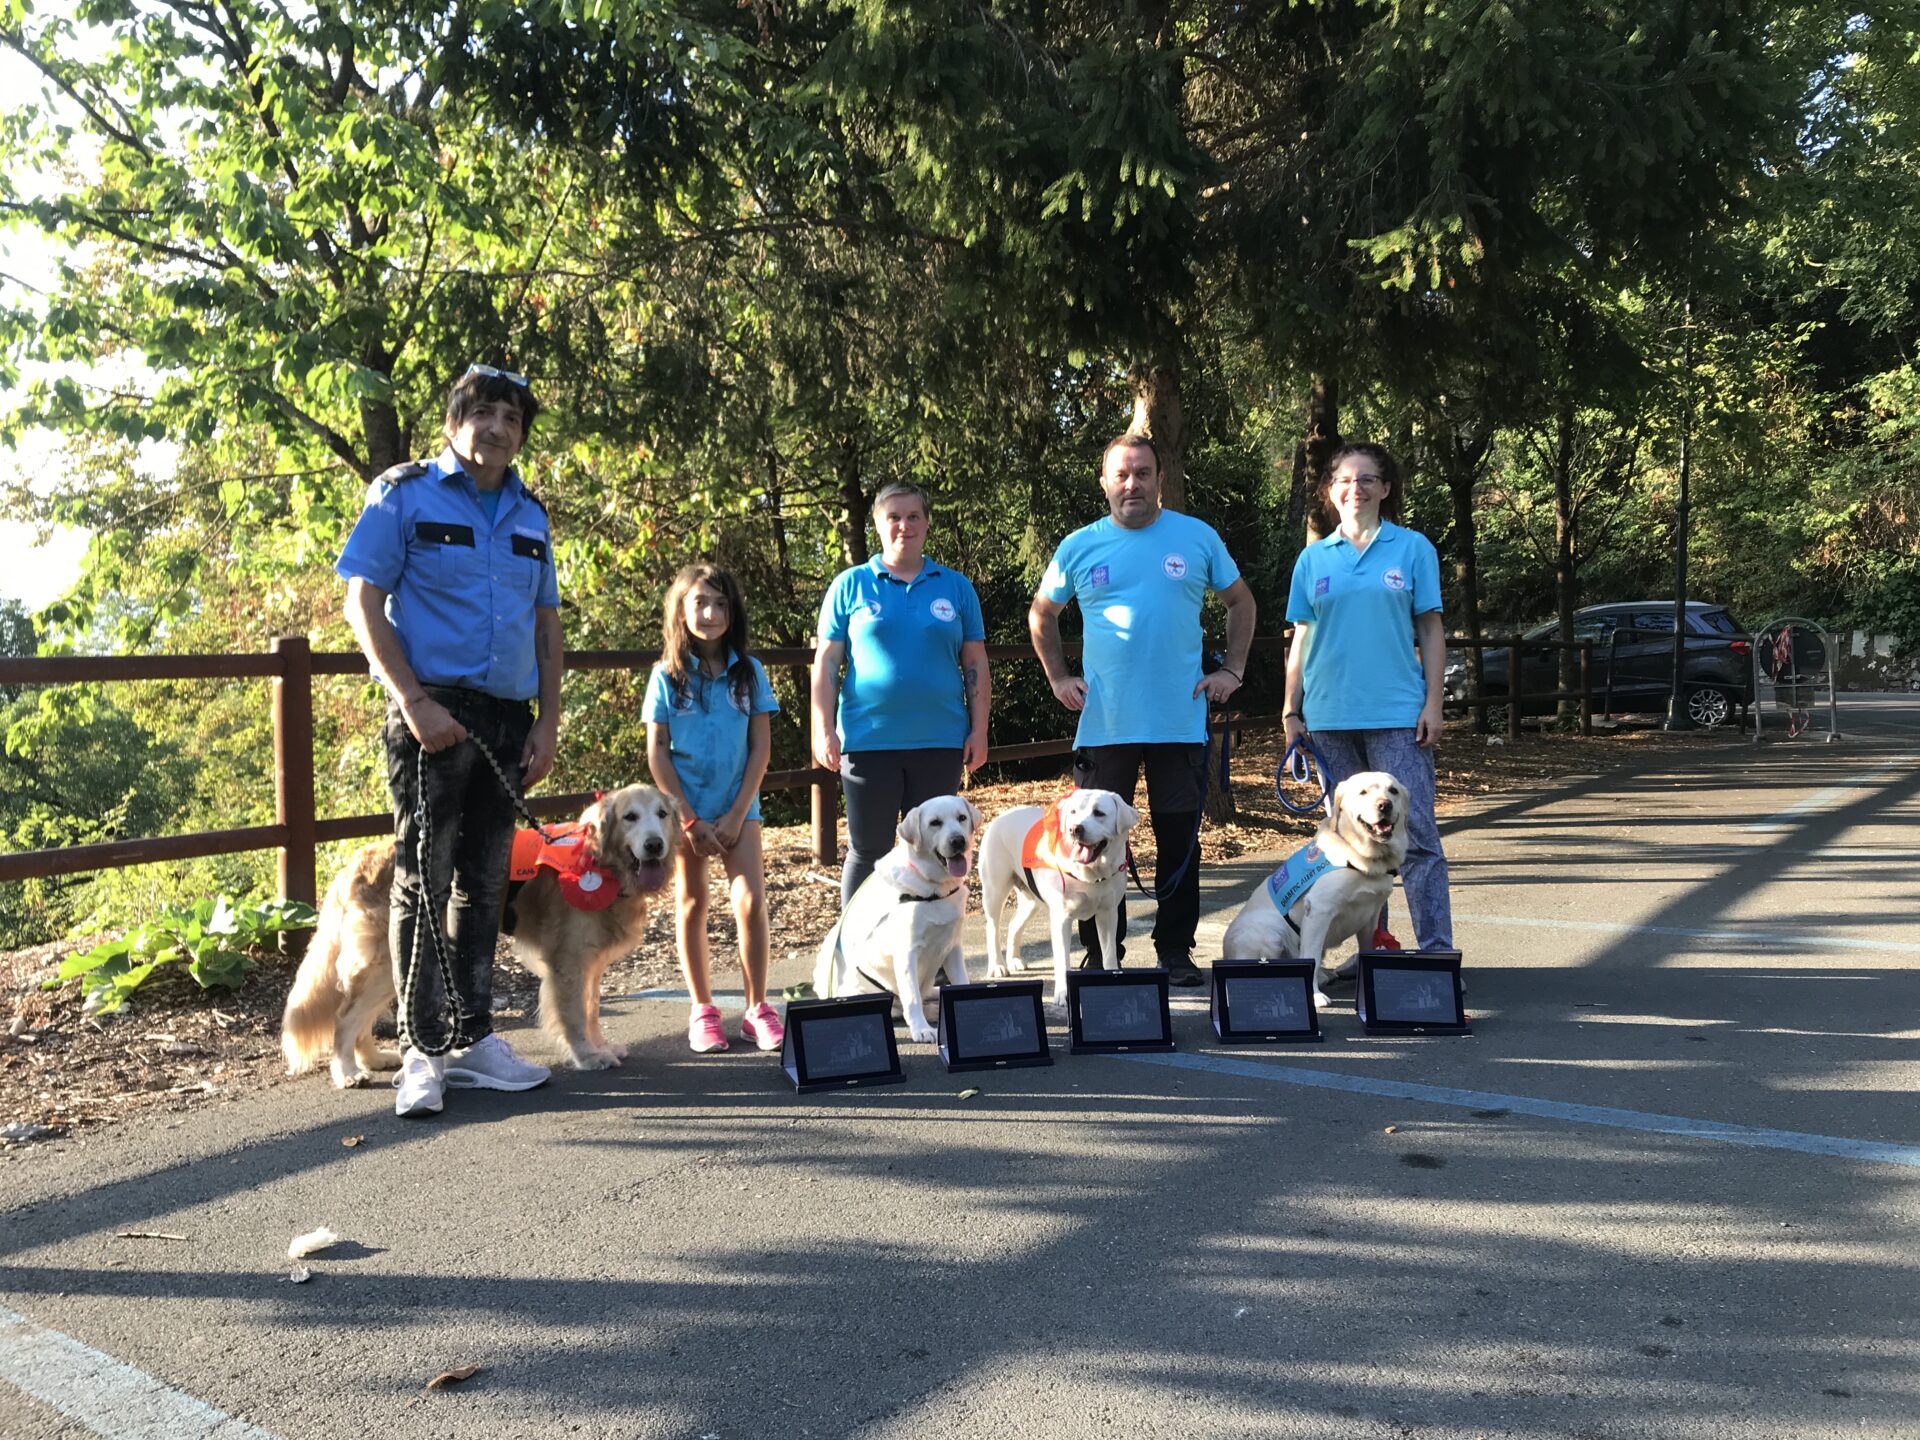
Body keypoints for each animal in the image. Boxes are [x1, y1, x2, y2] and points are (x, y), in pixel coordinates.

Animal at [280, 791, 679, 1082]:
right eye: (630, 817)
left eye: (662, 814)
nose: (655, 845)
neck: (598, 861)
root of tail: (356, 860)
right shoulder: (567, 962)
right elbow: (575, 1015)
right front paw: (587, 1055)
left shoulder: (590, 964)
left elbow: (592, 1009)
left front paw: (602, 1047)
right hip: (386, 959)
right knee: (345, 1016)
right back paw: (347, 1071)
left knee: (361, 1017)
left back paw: (373, 1058)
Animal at [814, 794, 983, 1044]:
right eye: (935, 823)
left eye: (961, 818)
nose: (958, 841)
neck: (934, 888)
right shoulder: (907, 952)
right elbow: (911, 997)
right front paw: (921, 1030)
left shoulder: (952, 946)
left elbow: (962, 982)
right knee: (907, 1004)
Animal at [975, 791, 1136, 1013]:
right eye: (1073, 811)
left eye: (1099, 813)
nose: (1075, 829)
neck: (1091, 875)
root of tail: (1003, 813)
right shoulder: (1062, 919)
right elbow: (1062, 960)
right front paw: (1063, 994)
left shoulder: (1108, 913)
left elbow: (1110, 953)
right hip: (994, 890)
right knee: (992, 927)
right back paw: (998, 966)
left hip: (1031, 900)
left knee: (1014, 924)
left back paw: (1015, 960)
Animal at [1213, 779, 1413, 1006]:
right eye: (1363, 792)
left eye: (1393, 791)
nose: (1384, 805)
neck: (1361, 859)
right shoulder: (1319, 911)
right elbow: (1313, 957)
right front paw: (1315, 996)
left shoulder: (1370, 917)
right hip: (1270, 932)